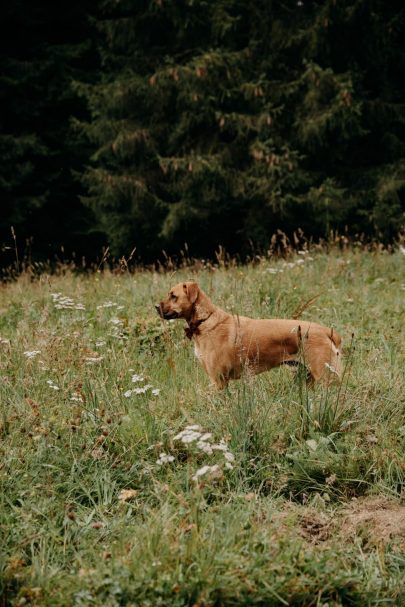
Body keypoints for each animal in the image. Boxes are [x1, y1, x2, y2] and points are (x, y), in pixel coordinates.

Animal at [155, 284, 340, 392]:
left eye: (173, 296)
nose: (156, 306)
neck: (205, 320)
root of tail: (326, 331)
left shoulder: (218, 381)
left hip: (326, 377)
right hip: (310, 378)